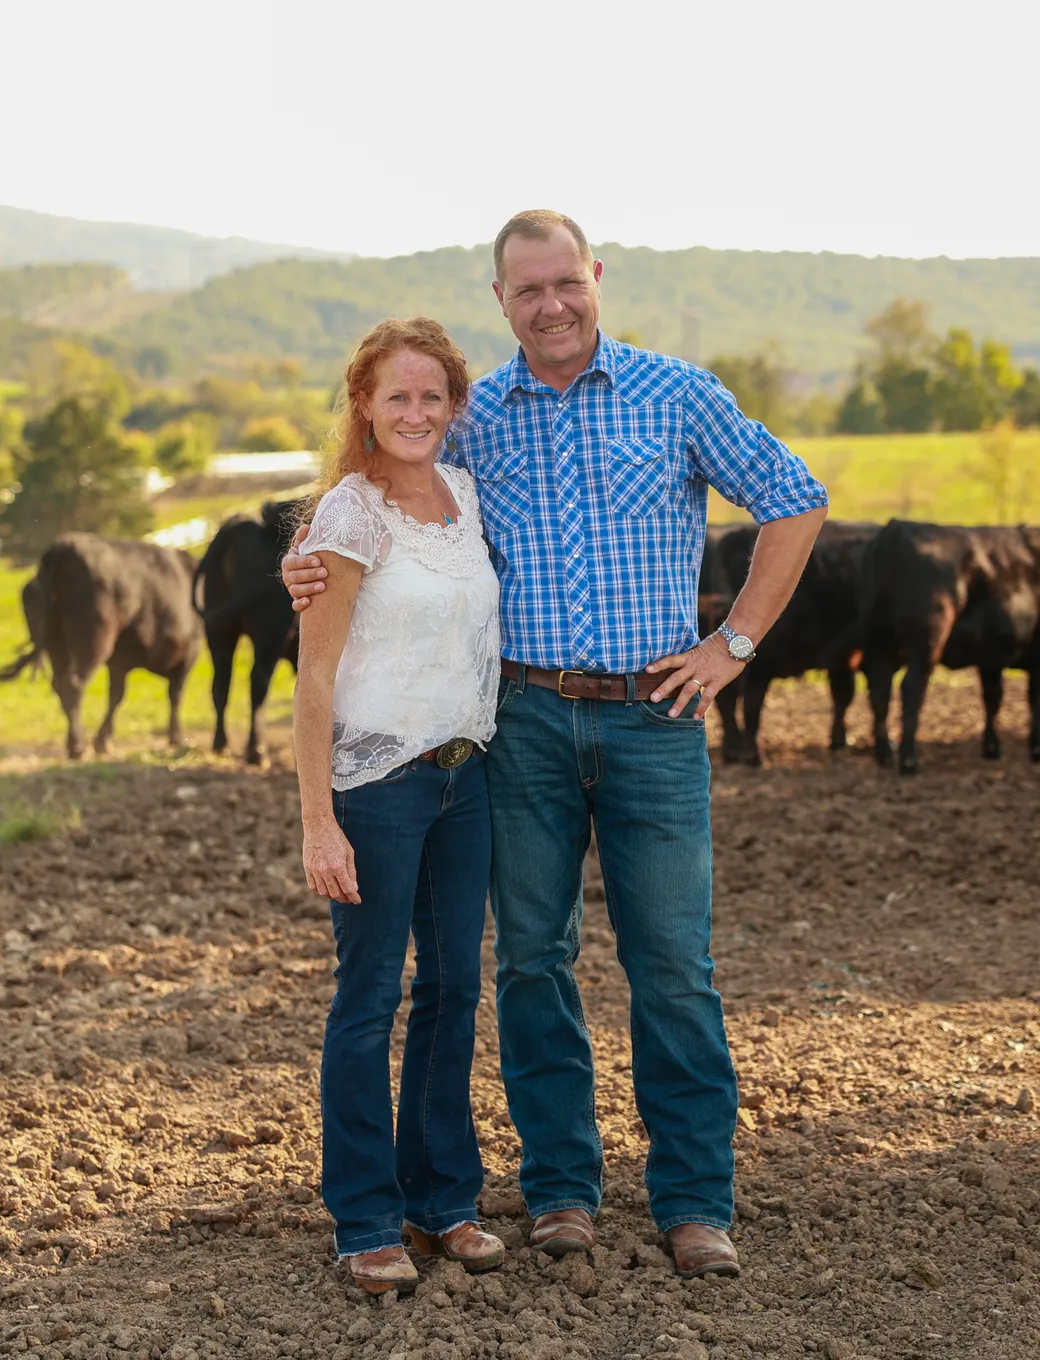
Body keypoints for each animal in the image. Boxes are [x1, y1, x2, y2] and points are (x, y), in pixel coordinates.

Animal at [0, 530, 201, 761]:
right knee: (72, 683)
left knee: (59, 683)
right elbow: (175, 694)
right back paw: (78, 746)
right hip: (94, 639)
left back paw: (73, 742)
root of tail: (65, 546)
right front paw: (176, 737)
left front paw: (104, 741)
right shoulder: (188, 652)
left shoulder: (120, 661)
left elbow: (116, 695)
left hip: (56, 642)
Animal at [193, 500, 301, 767]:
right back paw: (256, 750)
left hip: (219, 631)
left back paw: (221, 744)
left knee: (221, 683)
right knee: (258, 682)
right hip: (270, 632)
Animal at [706, 519, 875, 767]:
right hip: (762, 662)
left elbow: (843, 694)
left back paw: (734, 751)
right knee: (749, 703)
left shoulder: (842, 660)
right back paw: (754, 755)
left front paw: (839, 740)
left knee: (727, 699)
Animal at [853, 519, 1038, 772]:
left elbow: (993, 696)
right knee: (911, 688)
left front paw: (991, 749)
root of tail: (897, 528)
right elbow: (1033, 700)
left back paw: (885, 756)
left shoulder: (990, 658)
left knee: (880, 690)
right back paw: (908, 761)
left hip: (877, 639)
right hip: (927, 640)